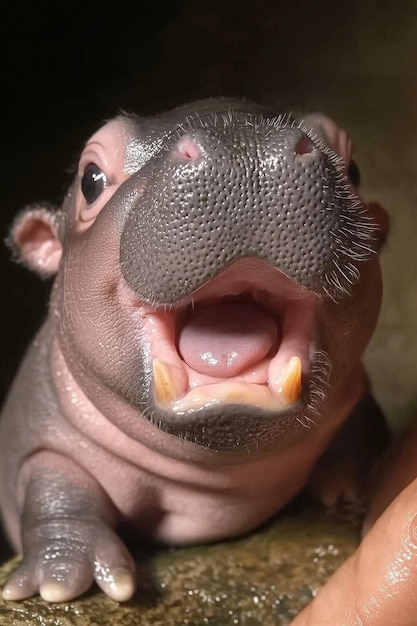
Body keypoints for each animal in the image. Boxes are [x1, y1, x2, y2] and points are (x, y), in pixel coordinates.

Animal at [1, 100, 388, 604]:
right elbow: (54, 481)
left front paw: (346, 495)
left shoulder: (354, 393)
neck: (216, 476)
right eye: (90, 179)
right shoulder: (47, 427)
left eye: (354, 170)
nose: (244, 152)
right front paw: (62, 576)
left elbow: (363, 428)